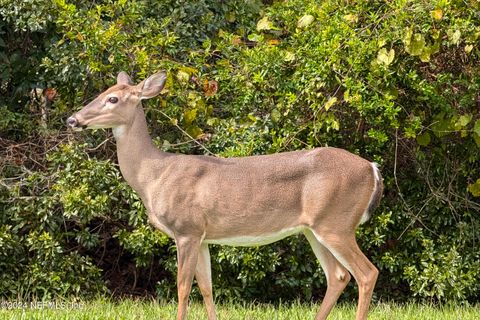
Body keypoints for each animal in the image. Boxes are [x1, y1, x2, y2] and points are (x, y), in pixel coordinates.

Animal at [66, 72, 382, 320]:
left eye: (113, 99)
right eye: (101, 93)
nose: (72, 119)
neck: (154, 175)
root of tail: (371, 168)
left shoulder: (186, 229)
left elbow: (183, 287)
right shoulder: (203, 235)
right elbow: (207, 286)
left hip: (336, 223)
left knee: (366, 273)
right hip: (313, 229)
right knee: (338, 275)